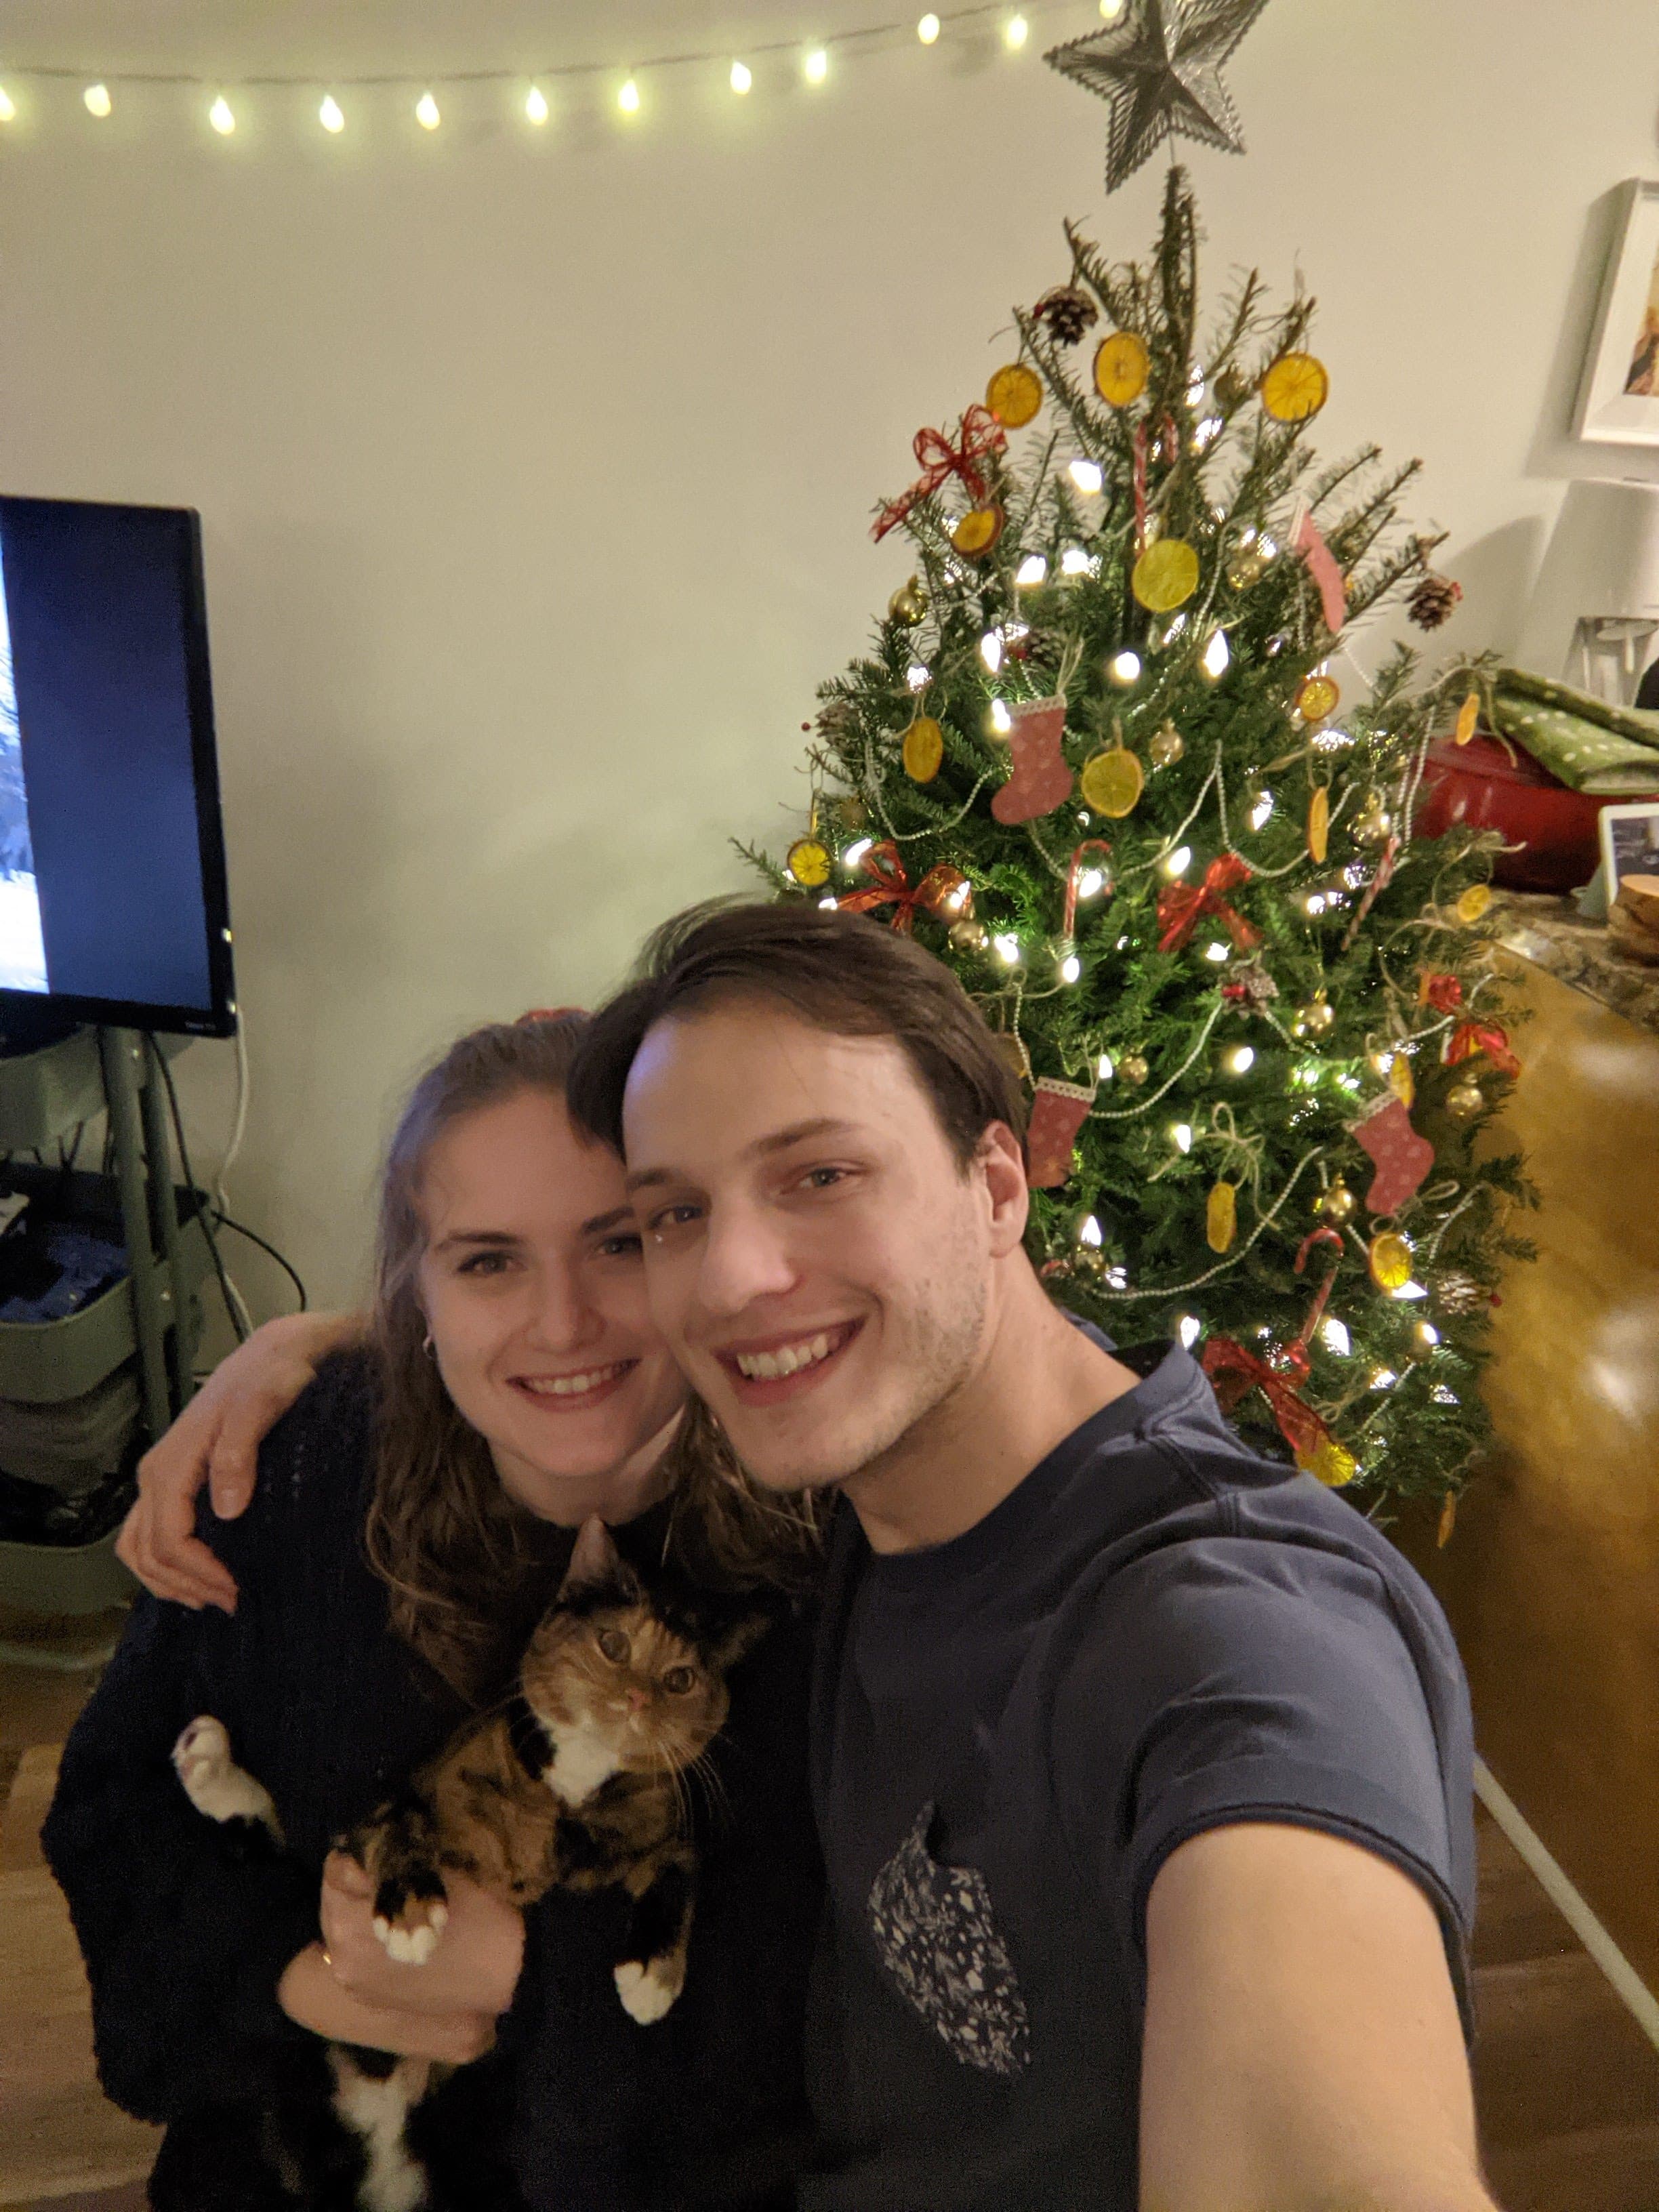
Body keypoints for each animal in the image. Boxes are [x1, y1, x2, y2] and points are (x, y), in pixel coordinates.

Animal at [165, 1521, 778, 2212]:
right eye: (613, 1644)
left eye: (680, 1680)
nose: (637, 1698)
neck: (575, 1779)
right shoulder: (408, 1795)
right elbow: (400, 1828)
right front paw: (411, 1917)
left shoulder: (653, 1834)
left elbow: (680, 1866)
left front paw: (652, 1977)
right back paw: (207, 1760)